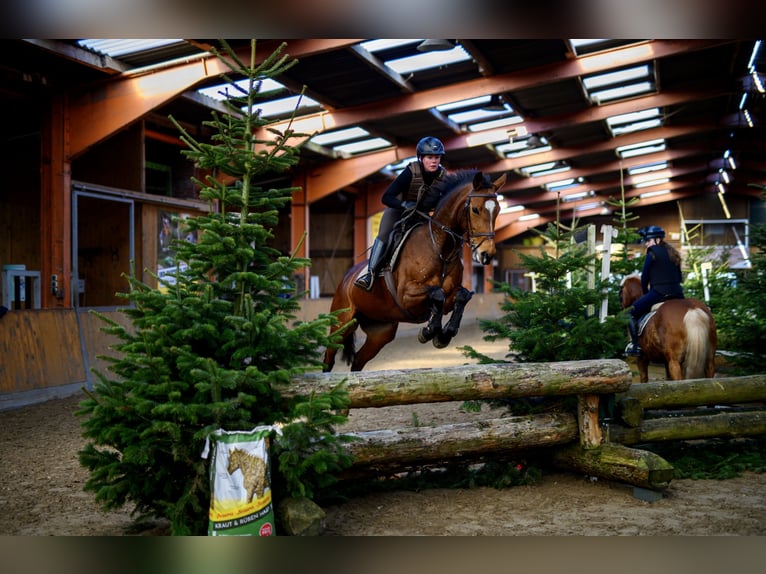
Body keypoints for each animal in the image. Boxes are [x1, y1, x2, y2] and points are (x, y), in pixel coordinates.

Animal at [323, 170, 506, 372]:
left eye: (498, 210)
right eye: (475, 209)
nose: (487, 254)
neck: (440, 247)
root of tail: (346, 279)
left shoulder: (449, 296)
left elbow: (461, 296)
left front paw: (443, 334)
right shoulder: (406, 296)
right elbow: (437, 294)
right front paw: (429, 331)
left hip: (380, 332)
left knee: (357, 362)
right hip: (342, 322)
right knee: (328, 358)